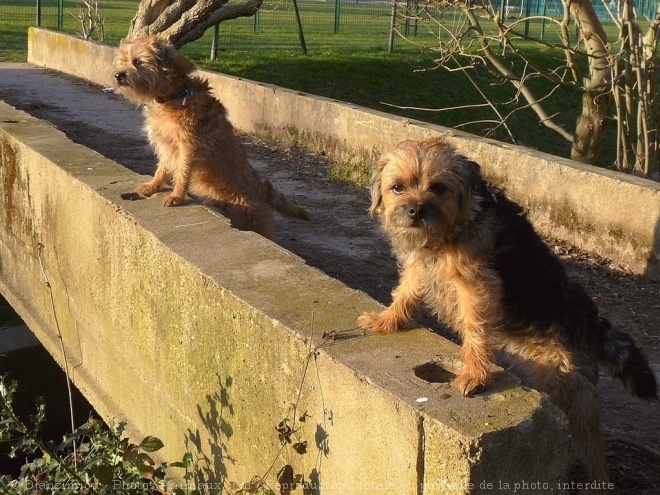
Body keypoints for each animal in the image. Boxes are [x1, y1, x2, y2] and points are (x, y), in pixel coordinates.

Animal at [113, 35, 310, 239]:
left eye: (137, 62)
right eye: (123, 60)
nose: (118, 75)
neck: (175, 95)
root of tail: (262, 188)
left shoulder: (188, 147)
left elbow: (182, 172)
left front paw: (177, 196)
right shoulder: (166, 145)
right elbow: (163, 168)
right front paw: (153, 186)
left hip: (251, 218)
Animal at [358, 136, 656, 488]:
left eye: (439, 188)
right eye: (398, 187)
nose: (415, 210)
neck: (455, 225)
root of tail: (590, 323)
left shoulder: (476, 286)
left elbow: (475, 329)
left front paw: (475, 373)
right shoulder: (421, 269)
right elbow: (404, 293)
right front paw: (387, 320)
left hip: (570, 386)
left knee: (591, 441)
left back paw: (597, 483)